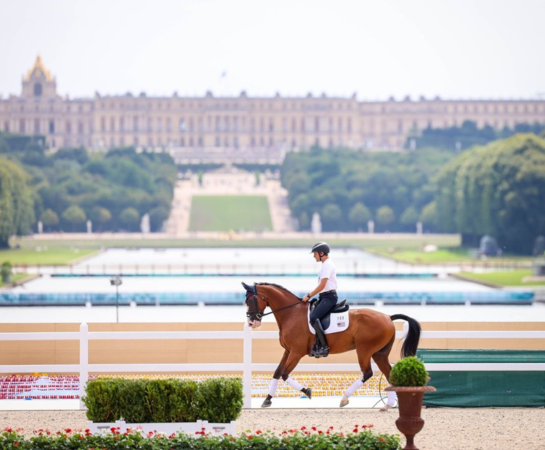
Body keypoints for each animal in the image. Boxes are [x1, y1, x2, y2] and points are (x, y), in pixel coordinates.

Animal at [243, 282, 420, 408]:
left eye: (250, 300)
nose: (251, 322)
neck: (291, 313)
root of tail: (388, 317)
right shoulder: (288, 351)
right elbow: (277, 373)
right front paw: (267, 400)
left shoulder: (296, 352)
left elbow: (285, 374)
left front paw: (307, 391)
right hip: (379, 353)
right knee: (389, 374)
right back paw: (390, 404)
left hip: (364, 350)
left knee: (367, 373)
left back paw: (344, 399)